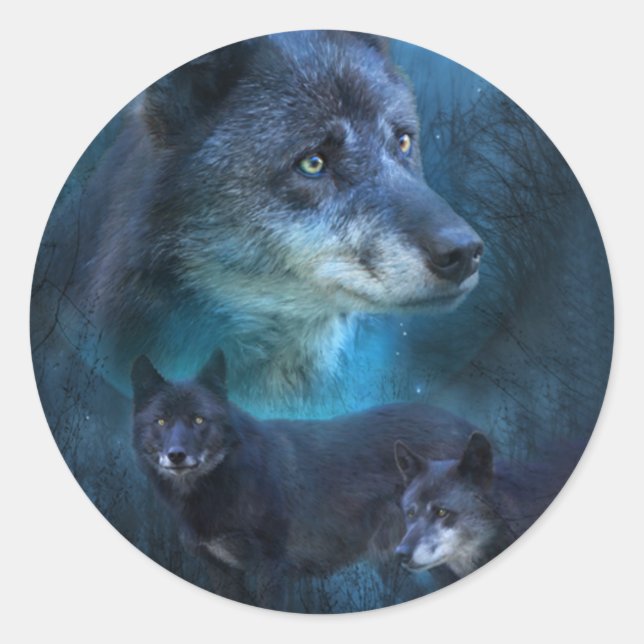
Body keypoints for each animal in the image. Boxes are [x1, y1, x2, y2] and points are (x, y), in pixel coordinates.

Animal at [131, 348, 478, 611]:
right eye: (160, 421)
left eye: (199, 419)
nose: (176, 455)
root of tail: (468, 427)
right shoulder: (222, 572)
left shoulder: (270, 570)